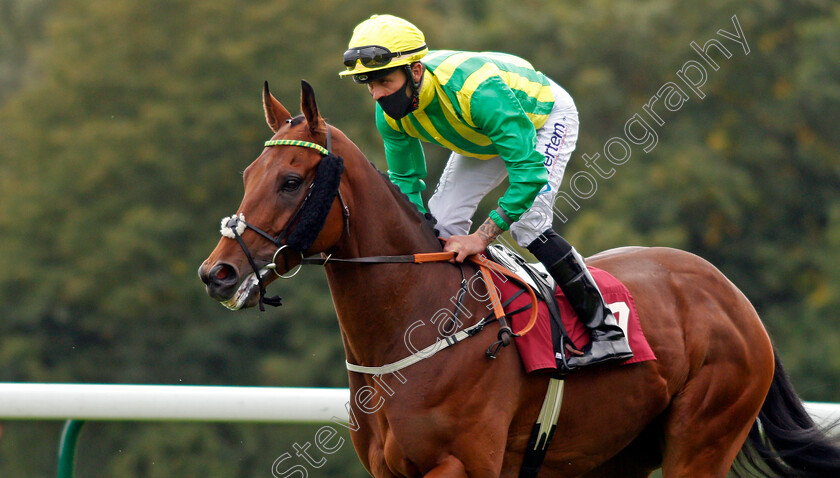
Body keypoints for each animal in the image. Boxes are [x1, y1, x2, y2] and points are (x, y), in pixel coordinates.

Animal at [199, 80, 840, 476]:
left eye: (290, 181)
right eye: (249, 173)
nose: (217, 272)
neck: (415, 327)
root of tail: (731, 294)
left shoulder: (463, 464)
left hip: (703, 439)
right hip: (616, 454)